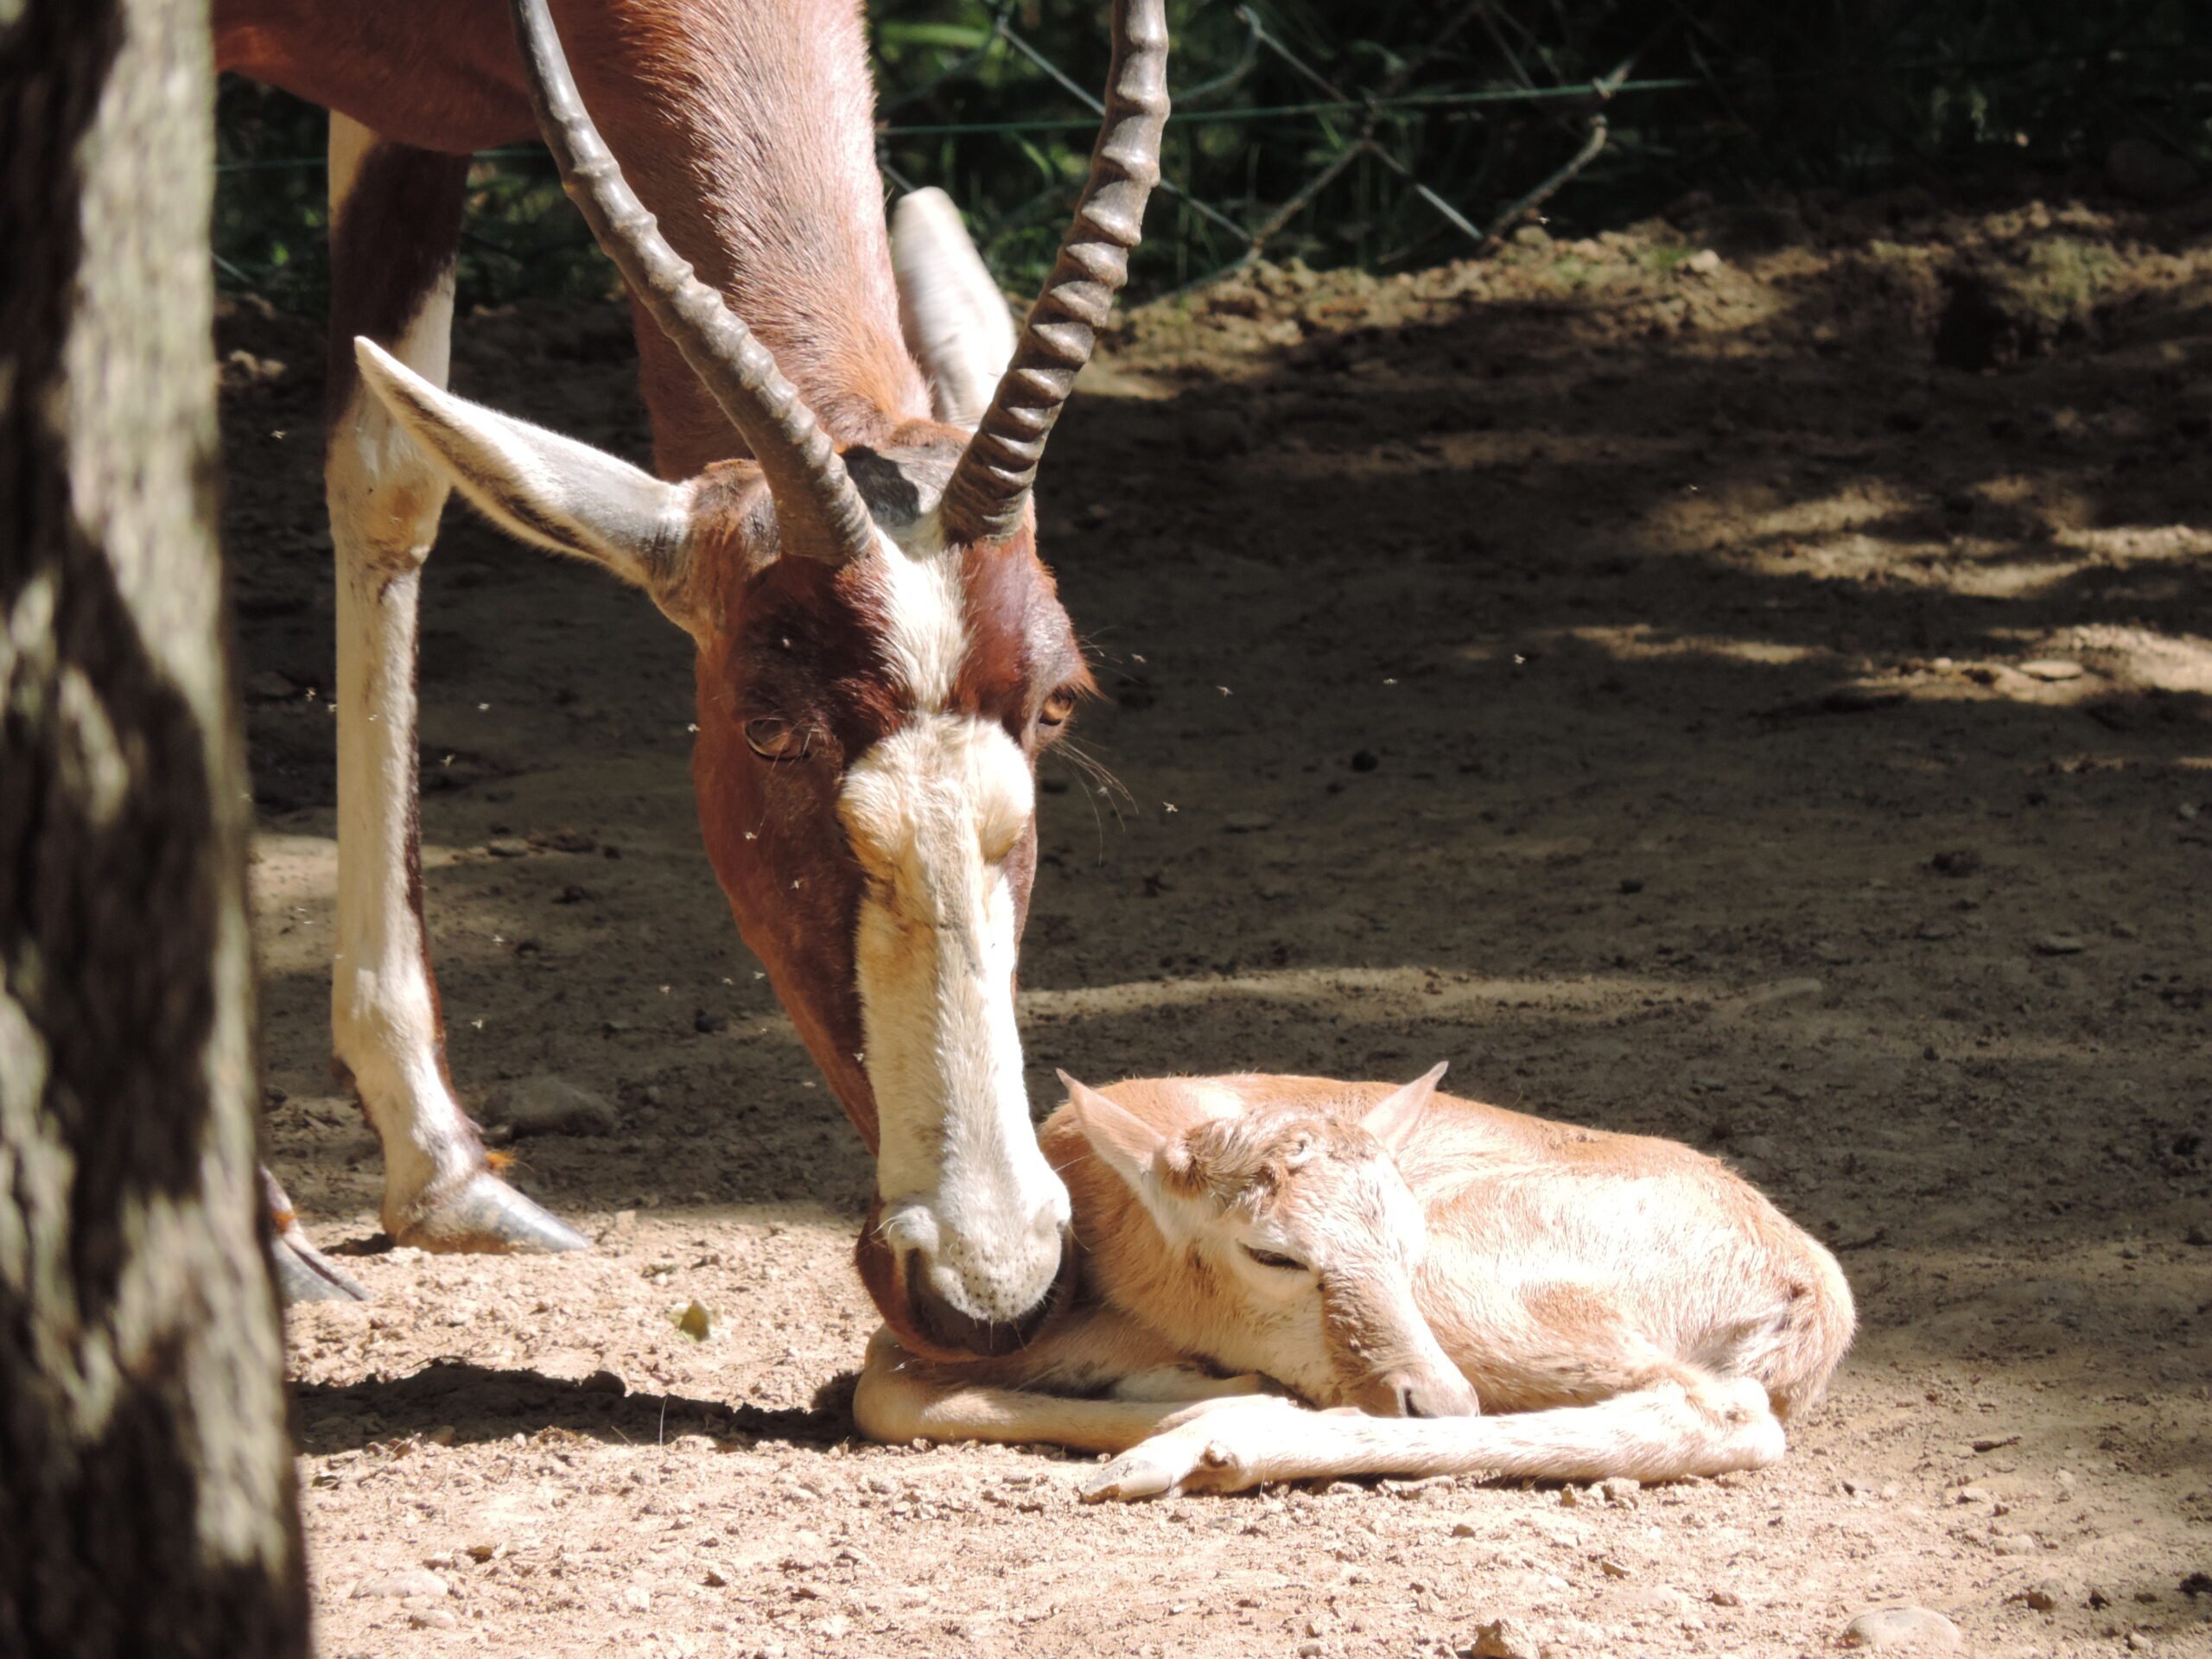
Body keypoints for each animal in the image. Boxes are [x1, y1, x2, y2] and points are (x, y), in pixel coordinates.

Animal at [213, 0, 1167, 1362]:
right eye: (768, 727)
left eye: (1057, 703)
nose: (991, 1286)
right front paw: (257, 1225)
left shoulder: (401, 116)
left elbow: (394, 469)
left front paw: (446, 1171)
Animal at [854, 1071, 1858, 1503]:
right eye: (1271, 1254)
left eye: (1402, 1243)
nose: (1439, 1398)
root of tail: (1811, 1293)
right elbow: (885, 1384)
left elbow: (881, 1380)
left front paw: (1213, 1399)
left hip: (1487, 1280)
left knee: (1716, 1412)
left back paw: (1205, 1446)